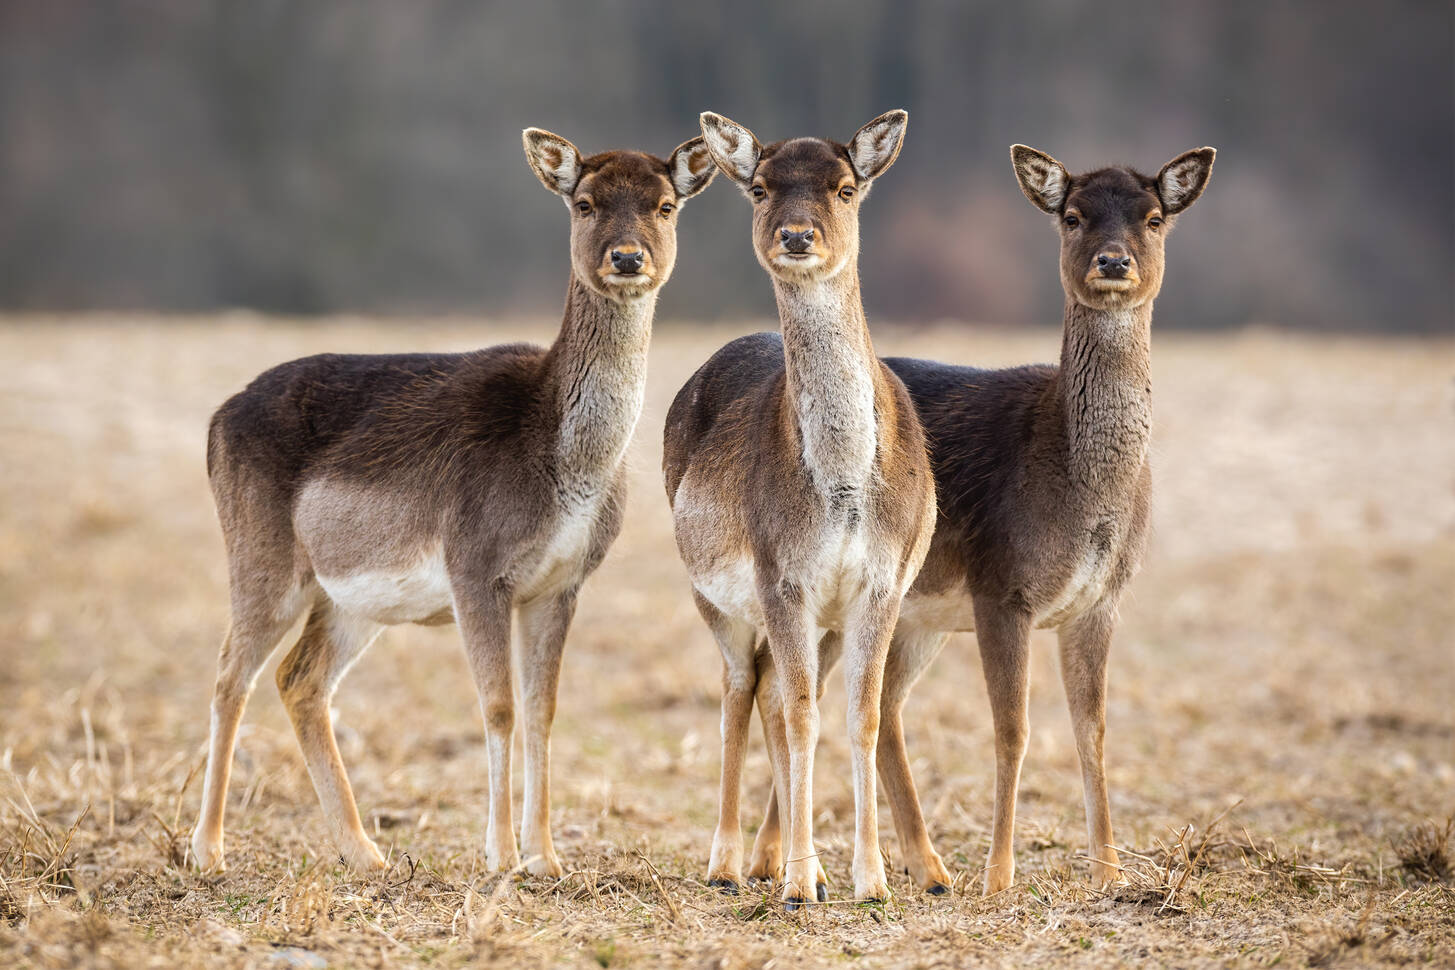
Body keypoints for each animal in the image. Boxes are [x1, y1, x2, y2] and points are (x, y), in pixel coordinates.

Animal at [189, 125, 715, 878]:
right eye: (583, 202)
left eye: (666, 205)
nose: (626, 257)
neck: (568, 467)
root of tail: (216, 420)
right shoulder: (475, 565)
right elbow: (497, 705)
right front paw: (499, 855)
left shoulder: (563, 582)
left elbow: (543, 708)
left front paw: (545, 858)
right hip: (262, 556)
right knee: (231, 675)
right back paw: (207, 850)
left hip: (350, 599)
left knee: (300, 680)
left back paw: (365, 852)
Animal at [660, 111, 931, 913]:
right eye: (758, 187)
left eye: (845, 186)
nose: (797, 235)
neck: (840, 492)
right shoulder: (782, 577)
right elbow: (805, 716)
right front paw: (803, 884)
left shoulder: (880, 585)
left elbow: (858, 717)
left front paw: (869, 880)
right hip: (711, 592)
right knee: (739, 691)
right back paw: (729, 863)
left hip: (822, 625)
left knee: (775, 696)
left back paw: (775, 862)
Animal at [744, 142, 1210, 895]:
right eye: (1072, 215)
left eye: (1154, 217)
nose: (1113, 262)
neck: (1083, 494)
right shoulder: (1002, 584)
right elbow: (1013, 730)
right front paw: (998, 876)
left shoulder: (1102, 599)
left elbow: (1093, 729)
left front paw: (1108, 871)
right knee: (787, 684)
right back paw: (784, 862)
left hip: (913, 615)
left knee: (878, 705)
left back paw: (919, 866)